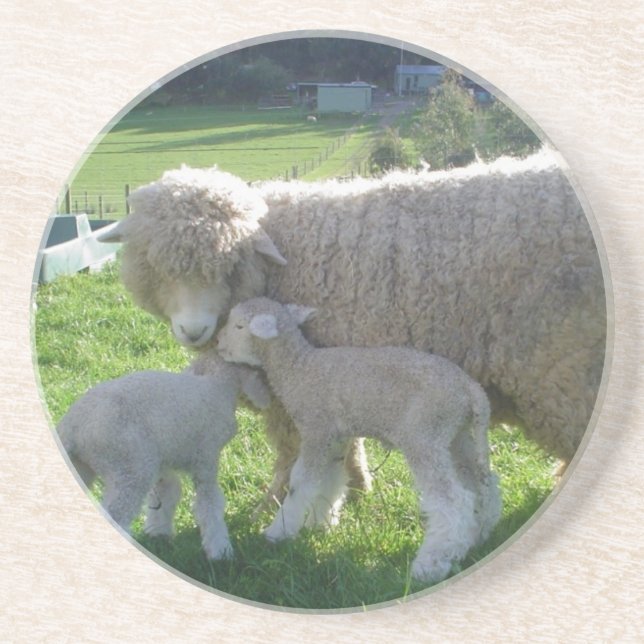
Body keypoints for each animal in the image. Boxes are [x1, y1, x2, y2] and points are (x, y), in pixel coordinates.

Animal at [56, 355, 271, 560]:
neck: (218, 385)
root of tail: (72, 428)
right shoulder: (206, 457)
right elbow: (209, 504)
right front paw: (220, 551)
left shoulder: (163, 459)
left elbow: (167, 492)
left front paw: (159, 533)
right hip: (130, 466)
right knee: (116, 515)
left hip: (84, 466)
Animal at [98, 150, 606, 507]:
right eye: (154, 266)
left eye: (229, 264)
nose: (193, 330)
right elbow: (346, 442)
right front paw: (357, 487)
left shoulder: (294, 388)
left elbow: (291, 449)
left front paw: (276, 502)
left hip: (560, 362)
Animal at [217, 297, 502, 583]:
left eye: (239, 326)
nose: (218, 344)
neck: (298, 368)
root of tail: (472, 391)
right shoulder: (335, 438)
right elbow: (330, 480)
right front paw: (319, 524)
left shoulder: (316, 429)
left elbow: (301, 482)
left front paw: (278, 532)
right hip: (456, 435)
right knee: (484, 486)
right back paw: (476, 538)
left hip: (425, 435)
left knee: (454, 499)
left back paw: (430, 565)